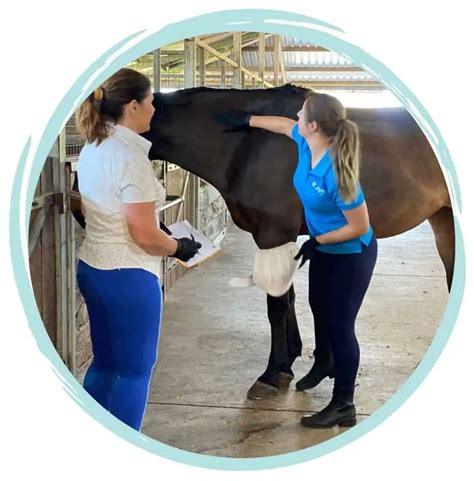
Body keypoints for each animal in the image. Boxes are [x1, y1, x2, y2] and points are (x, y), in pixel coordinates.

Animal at [72, 84, 454, 400]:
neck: (245, 144)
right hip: (444, 223)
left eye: (102, 141)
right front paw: (289, 365)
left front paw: (271, 375)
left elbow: (276, 305)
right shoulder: (282, 238)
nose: (78, 207)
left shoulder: (273, 233)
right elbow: (290, 297)